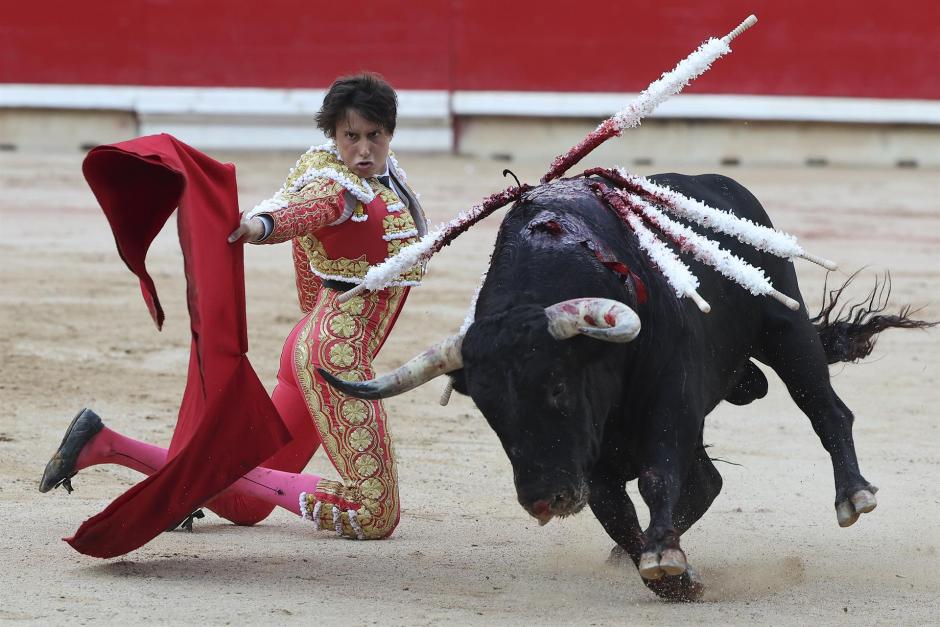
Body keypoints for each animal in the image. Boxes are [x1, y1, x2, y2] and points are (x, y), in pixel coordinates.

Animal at [318, 173, 932, 604]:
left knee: (825, 409)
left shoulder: (670, 408)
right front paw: (670, 574)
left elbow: (659, 476)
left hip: (786, 329)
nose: (543, 498)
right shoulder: (593, 460)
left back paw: (854, 495)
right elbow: (616, 509)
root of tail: (728, 190)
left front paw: (664, 557)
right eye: (489, 410)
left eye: (558, 386)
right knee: (707, 481)